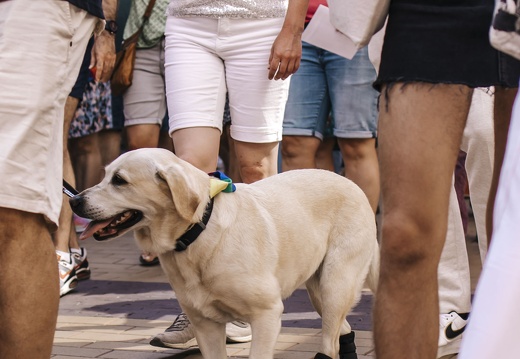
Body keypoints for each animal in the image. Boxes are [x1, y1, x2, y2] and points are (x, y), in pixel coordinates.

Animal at [69, 148, 378, 359]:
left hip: (335, 284)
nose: (74, 201)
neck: (197, 233)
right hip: (319, 291)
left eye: (119, 180)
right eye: (105, 175)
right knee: (341, 331)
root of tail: (351, 183)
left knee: (329, 341)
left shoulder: (267, 315)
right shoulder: (205, 325)